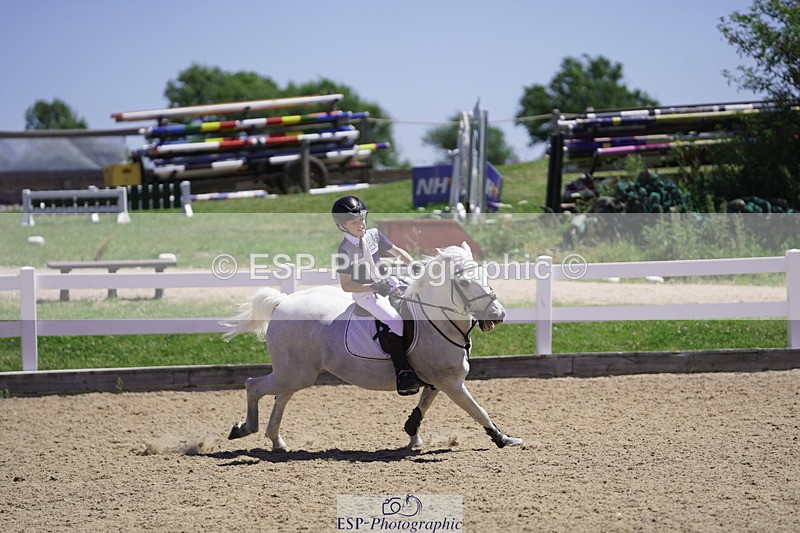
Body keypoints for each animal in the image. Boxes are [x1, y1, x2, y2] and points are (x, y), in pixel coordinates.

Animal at [224, 242, 523, 451]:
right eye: (463, 282)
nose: (498, 316)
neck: (437, 319)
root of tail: (282, 302)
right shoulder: (451, 383)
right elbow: (478, 410)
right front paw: (503, 438)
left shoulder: (437, 382)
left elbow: (421, 408)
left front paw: (412, 434)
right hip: (295, 373)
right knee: (254, 386)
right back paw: (244, 428)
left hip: (294, 374)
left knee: (280, 397)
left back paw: (276, 441)